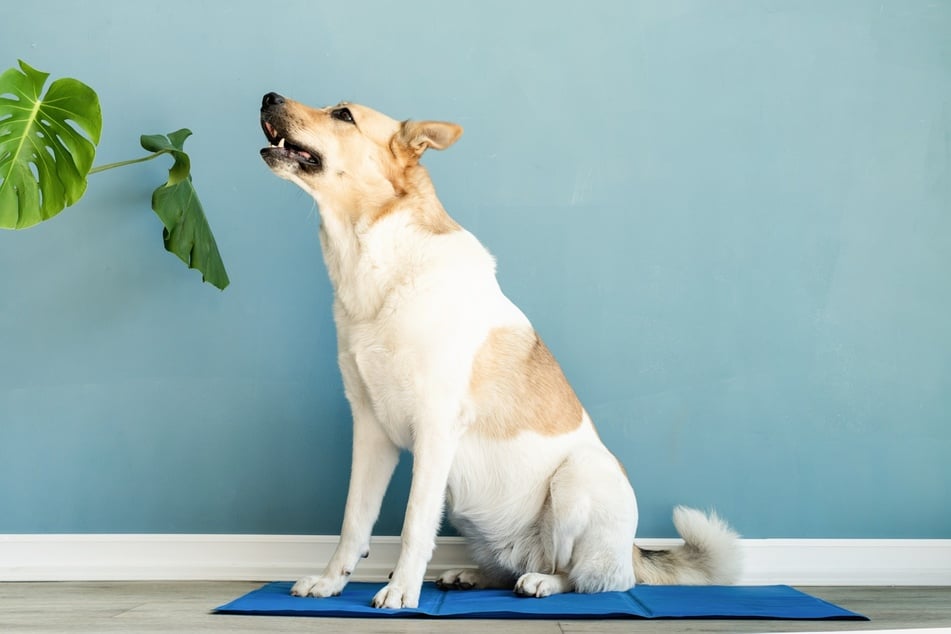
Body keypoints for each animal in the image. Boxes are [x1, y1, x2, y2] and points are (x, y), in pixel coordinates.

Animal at [260, 92, 744, 608]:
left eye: (344, 115)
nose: (268, 97)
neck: (377, 263)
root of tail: (632, 552)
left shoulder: (435, 429)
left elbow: (414, 524)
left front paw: (401, 590)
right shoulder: (371, 431)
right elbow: (353, 522)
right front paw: (330, 582)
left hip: (577, 478)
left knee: (586, 577)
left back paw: (542, 582)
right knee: (508, 569)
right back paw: (469, 575)